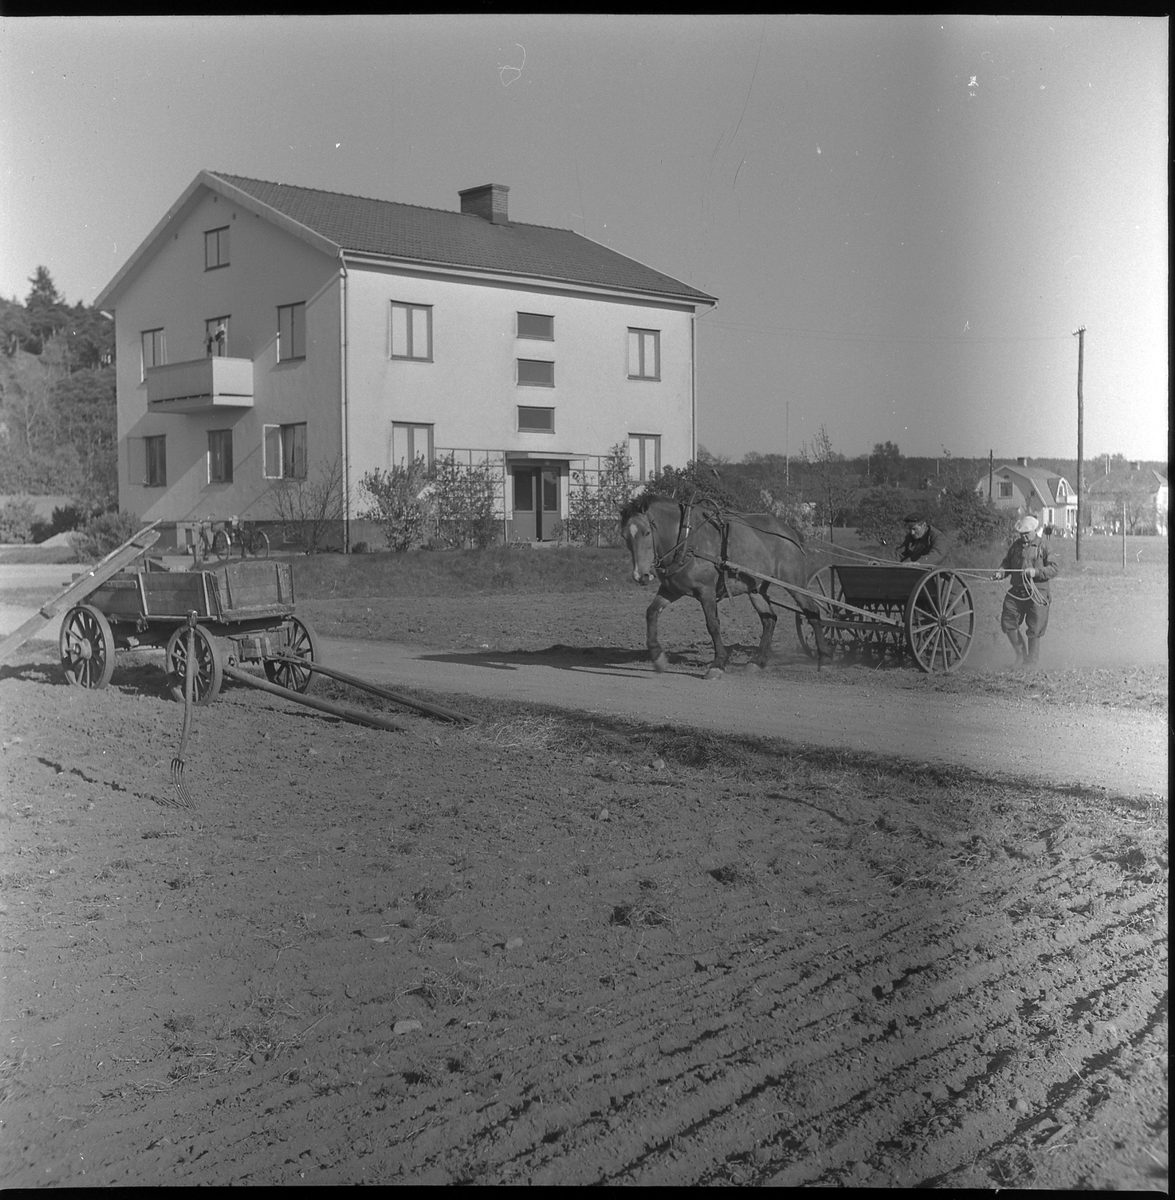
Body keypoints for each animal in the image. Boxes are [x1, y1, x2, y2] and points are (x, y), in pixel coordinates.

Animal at [614, 492, 835, 681]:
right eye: (624, 536)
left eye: (646, 532)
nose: (641, 575)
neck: (686, 540)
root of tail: (789, 530)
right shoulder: (671, 590)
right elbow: (651, 612)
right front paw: (658, 658)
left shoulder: (706, 591)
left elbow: (713, 625)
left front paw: (718, 664)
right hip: (755, 589)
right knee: (769, 619)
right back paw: (757, 661)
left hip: (794, 583)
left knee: (813, 613)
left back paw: (824, 660)